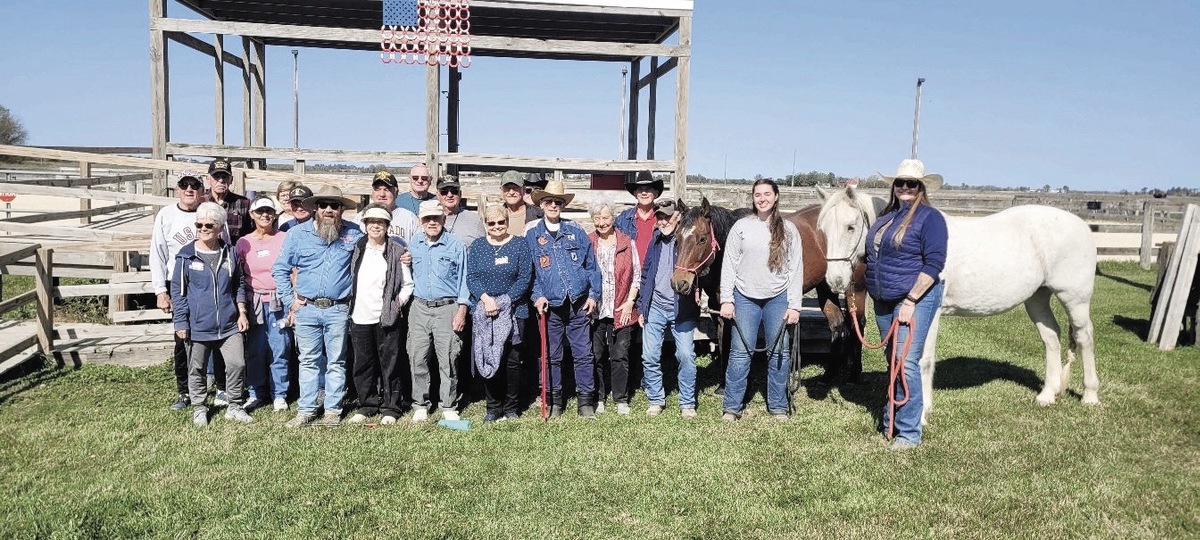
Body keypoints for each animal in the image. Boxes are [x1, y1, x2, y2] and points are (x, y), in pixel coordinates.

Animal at [676, 195, 864, 381]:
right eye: (677, 238)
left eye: (702, 239)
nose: (679, 282)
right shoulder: (718, 309)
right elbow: (723, 343)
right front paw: (723, 383)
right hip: (825, 287)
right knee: (837, 324)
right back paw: (829, 374)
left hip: (854, 288)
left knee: (858, 322)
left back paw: (855, 372)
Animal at [816, 187, 1099, 427]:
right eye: (824, 231)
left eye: (851, 227)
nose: (835, 280)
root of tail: (1082, 226)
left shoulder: (928, 314)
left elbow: (923, 360)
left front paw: (921, 414)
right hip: (1037, 298)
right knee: (1051, 337)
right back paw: (1047, 395)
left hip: (1075, 298)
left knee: (1084, 337)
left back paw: (1090, 395)